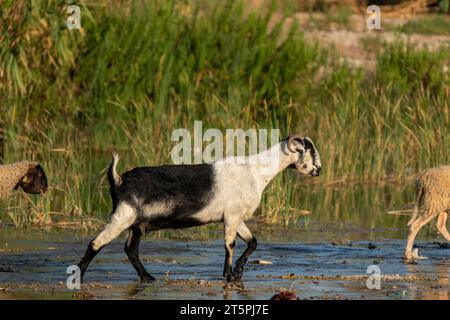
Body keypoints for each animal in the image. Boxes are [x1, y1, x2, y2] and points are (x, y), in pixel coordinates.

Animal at [79, 134, 322, 282]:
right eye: (311, 151)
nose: (318, 170)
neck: (255, 171)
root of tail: (119, 180)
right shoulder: (232, 217)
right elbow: (230, 245)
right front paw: (229, 275)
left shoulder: (236, 217)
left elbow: (252, 242)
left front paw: (238, 272)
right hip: (123, 216)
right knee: (96, 243)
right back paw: (79, 277)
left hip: (136, 224)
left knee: (130, 250)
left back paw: (149, 277)